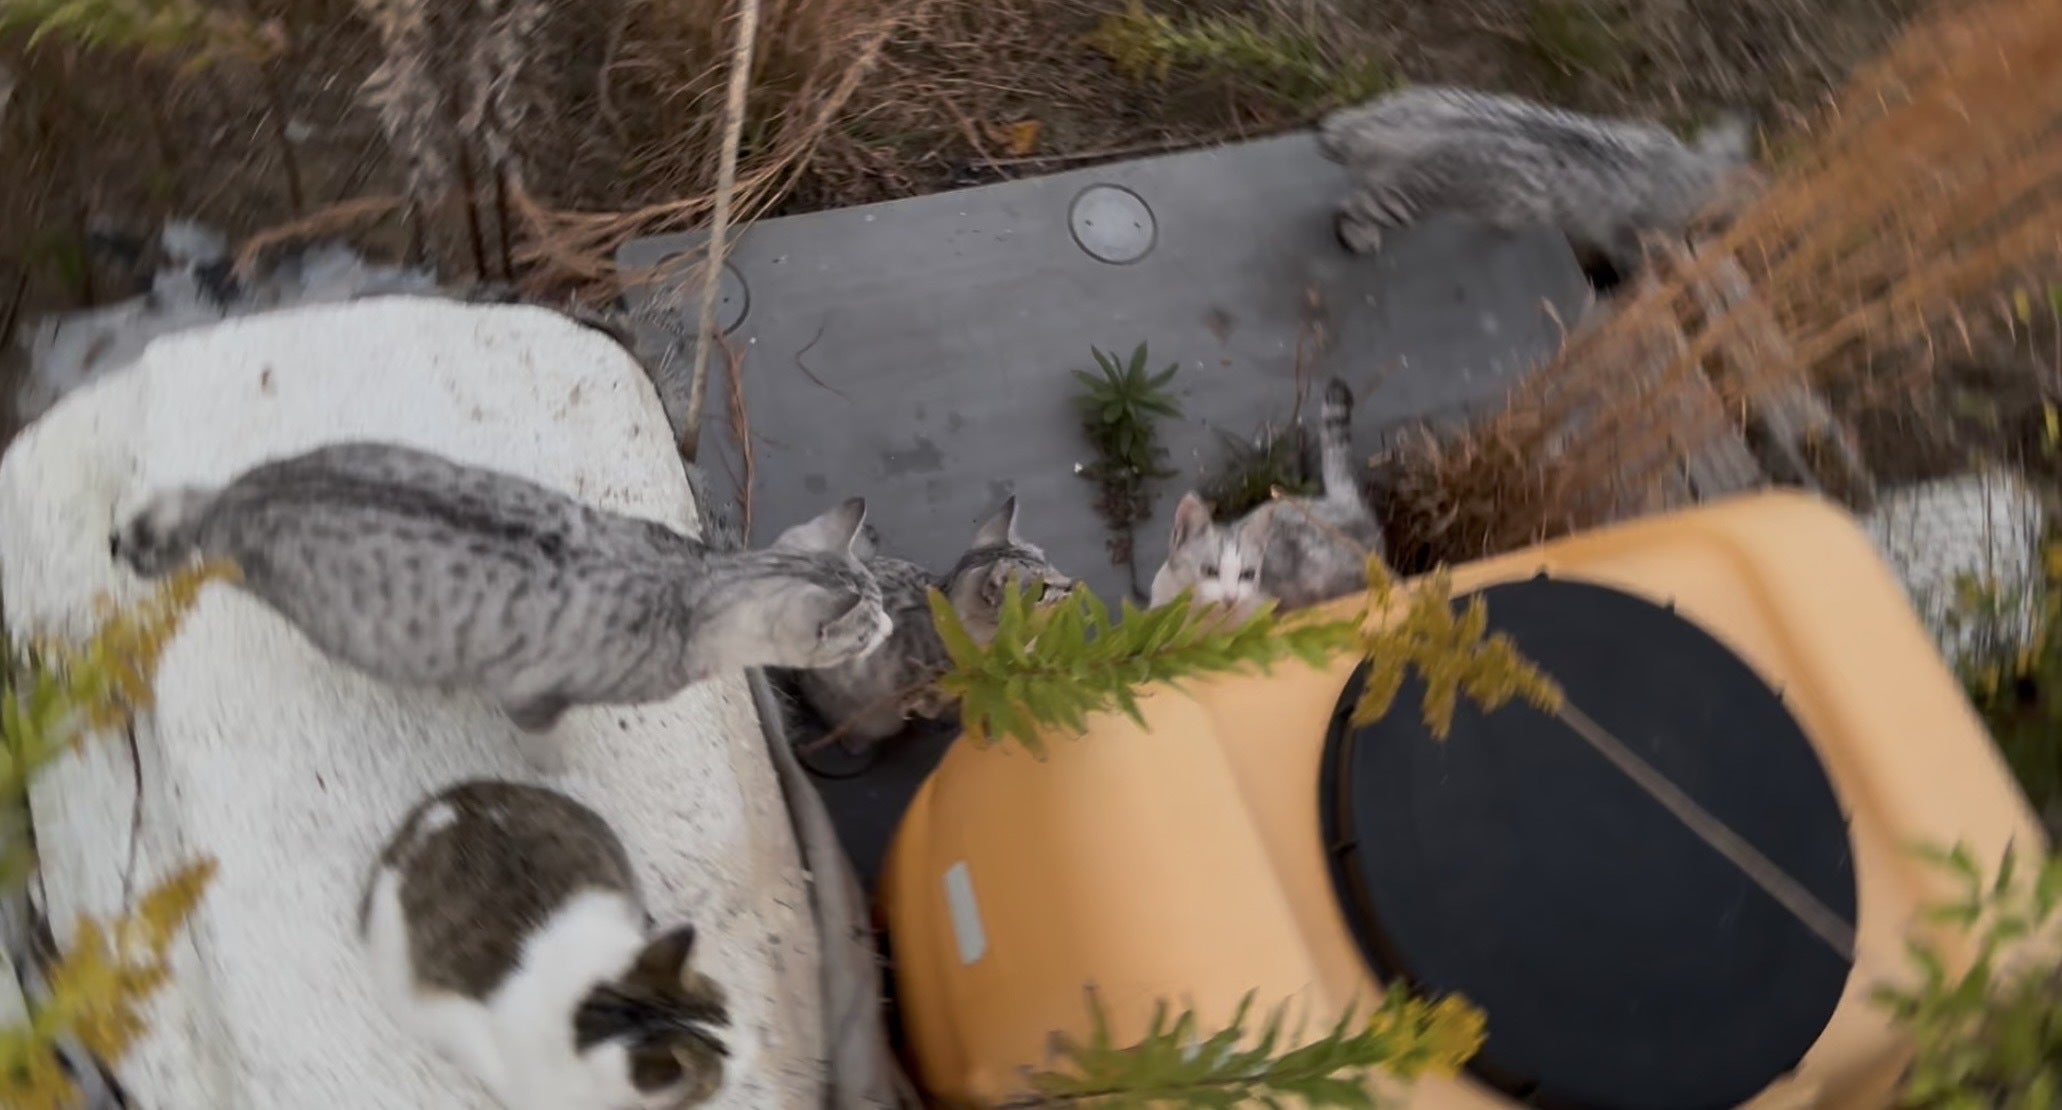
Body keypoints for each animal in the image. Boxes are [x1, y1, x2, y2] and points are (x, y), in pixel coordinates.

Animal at [110, 441, 892, 746]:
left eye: (883, 603)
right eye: (866, 626)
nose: (886, 629)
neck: (693, 586)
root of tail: (245, 497)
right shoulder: (532, 692)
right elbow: (546, 736)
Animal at [1316, 86, 1762, 283]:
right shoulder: (1629, 230)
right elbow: (1636, 256)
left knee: (1341, 132)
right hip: (1412, 196)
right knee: (1354, 209)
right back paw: (1358, 236)